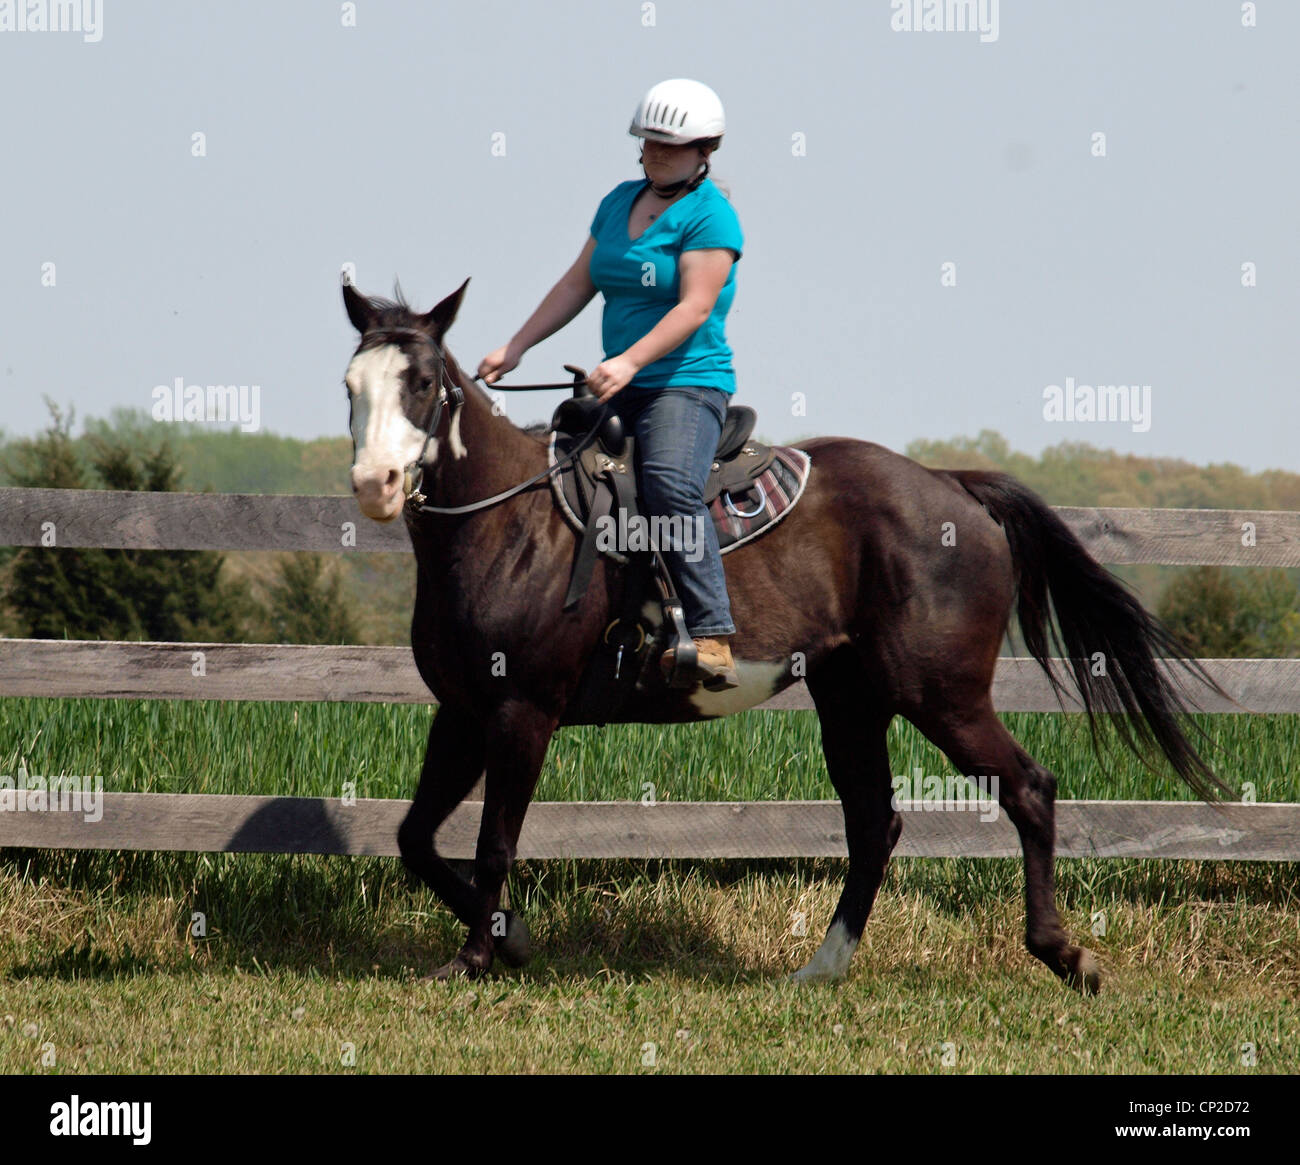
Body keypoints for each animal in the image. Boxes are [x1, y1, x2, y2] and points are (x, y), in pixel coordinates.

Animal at [341, 277, 1227, 993]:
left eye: (422, 381)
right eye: (351, 383)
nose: (374, 484)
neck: (508, 523)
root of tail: (953, 487)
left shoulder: (523, 711)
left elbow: (493, 841)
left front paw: (477, 958)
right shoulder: (464, 712)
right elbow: (415, 835)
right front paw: (513, 938)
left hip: (942, 695)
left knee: (1027, 788)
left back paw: (1065, 955)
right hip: (854, 702)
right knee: (875, 824)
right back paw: (824, 967)